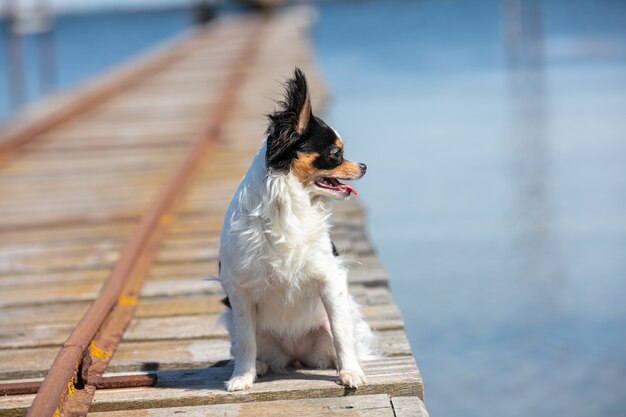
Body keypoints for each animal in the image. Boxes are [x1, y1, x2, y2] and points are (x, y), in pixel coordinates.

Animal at [218, 67, 370, 390]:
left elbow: (342, 334)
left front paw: (350, 373)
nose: (364, 166)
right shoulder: (239, 292)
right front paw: (242, 377)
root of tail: (295, 355)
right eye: (336, 154)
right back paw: (261, 366)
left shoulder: (330, 279)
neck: (290, 204)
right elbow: (246, 341)